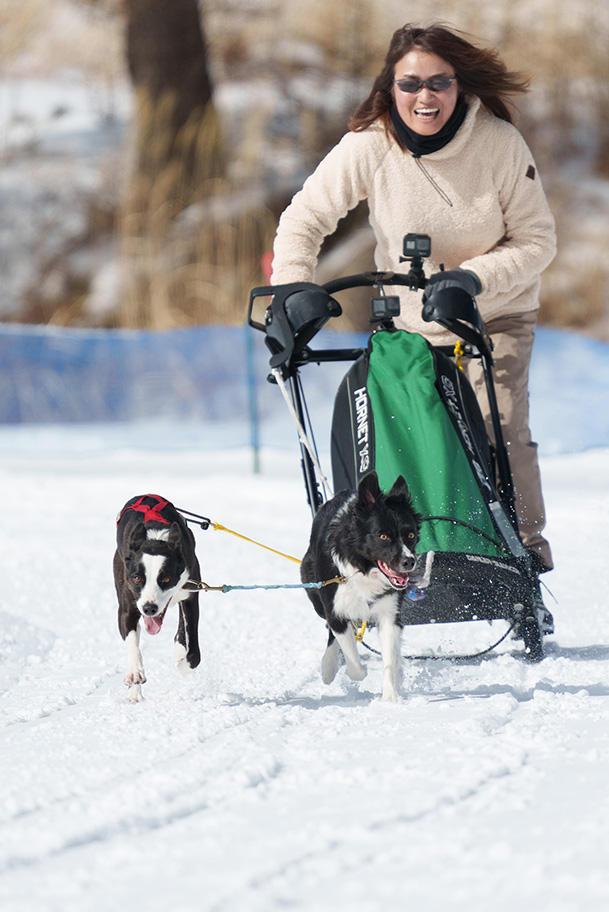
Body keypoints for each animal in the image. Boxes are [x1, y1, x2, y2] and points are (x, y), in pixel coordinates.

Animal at [113, 496, 201, 700]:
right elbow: (132, 641)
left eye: (166, 578)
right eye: (137, 578)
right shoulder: (127, 609)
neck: (155, 539)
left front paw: (183, 663)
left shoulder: (191, 595)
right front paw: (135, 673)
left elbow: (192, 650)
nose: (149, 608)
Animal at [300, 474, 422, 700]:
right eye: (383, 536)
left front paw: (391, 697)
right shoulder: (335, 608)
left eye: (410, 535)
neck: (365, 569)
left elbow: (390, 659)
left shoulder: (389, 613)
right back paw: (328, 667)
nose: (409, 562)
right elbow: (352, 659)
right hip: (315, 593)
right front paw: (355, 670)